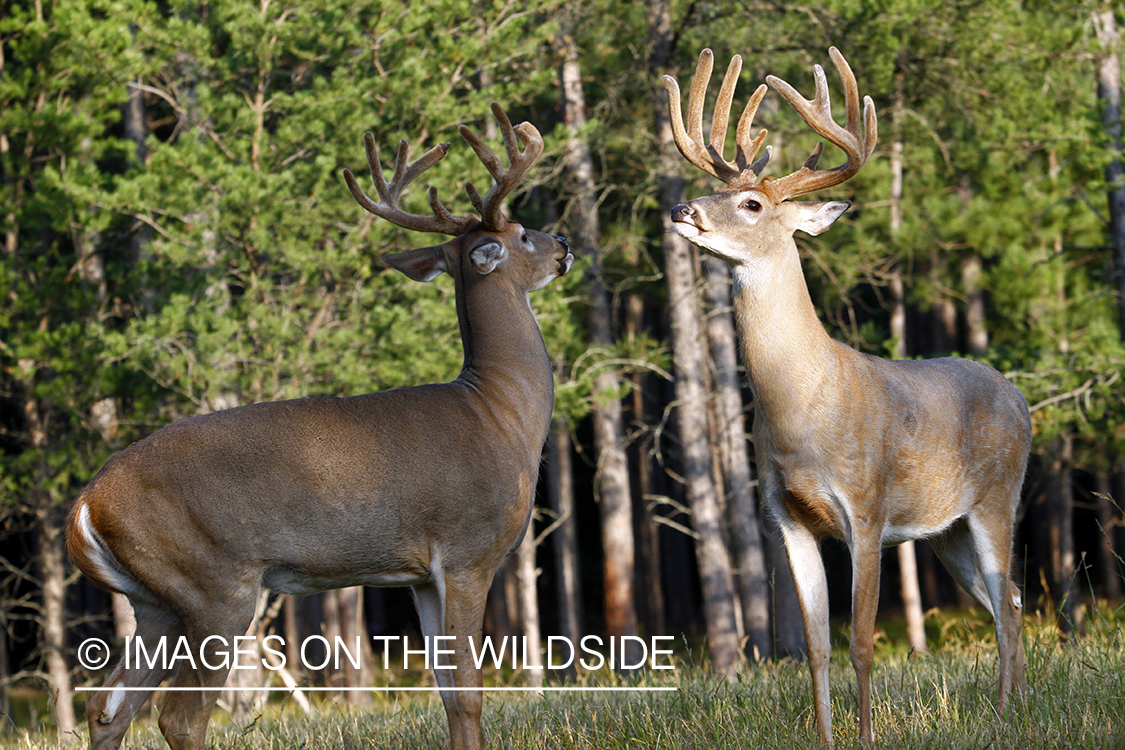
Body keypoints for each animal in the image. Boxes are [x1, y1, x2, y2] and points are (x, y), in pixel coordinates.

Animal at [64, 101, 571, 750]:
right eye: (523, 234)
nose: (564, 245)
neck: (501, 411)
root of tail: (87, 503)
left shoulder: (418, 575)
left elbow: (448, 694)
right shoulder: (467, 552)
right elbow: (470, 693)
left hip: (154, 602)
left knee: (108, 706)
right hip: (215, 584)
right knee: (178, 715)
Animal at [661, 49, 1030, 746]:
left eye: (751, 202)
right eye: (719, 190)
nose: (682, 209)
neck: (802, 408)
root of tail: (1019, 397)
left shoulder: (867, 506)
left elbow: (860, 642)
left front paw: (863, 736)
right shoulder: (786, 516)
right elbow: (815, 647)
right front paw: (827, 737)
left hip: (998, 496)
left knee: (1006, 601)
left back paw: (1004, 715)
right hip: (947, 532)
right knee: (1012, 600)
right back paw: (1015, 708)